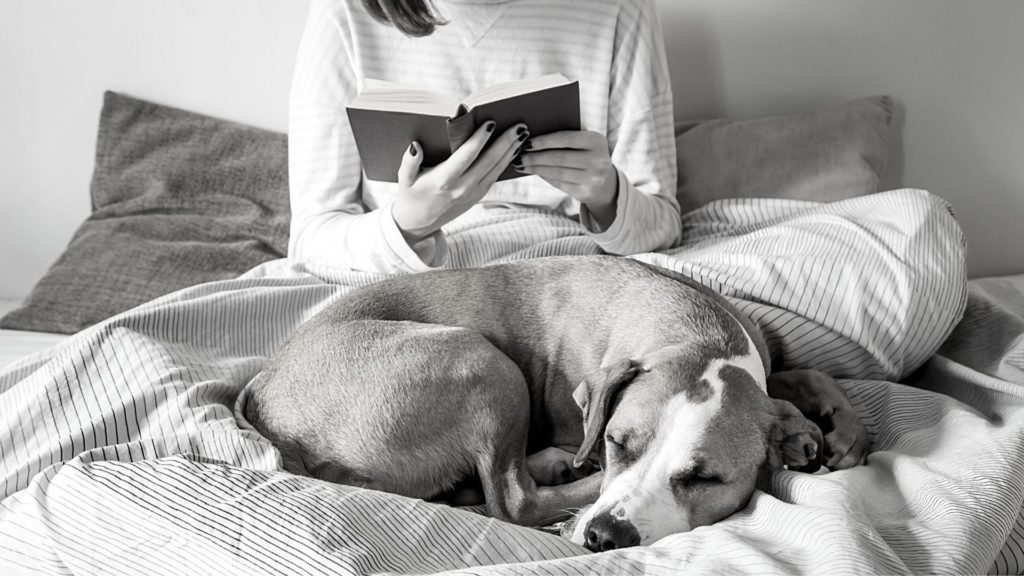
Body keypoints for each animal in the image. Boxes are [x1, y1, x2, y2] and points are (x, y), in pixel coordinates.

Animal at [245, 256, 864, 553]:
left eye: (704, 478)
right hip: (483, 361)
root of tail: (263, 398)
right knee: (513, 500)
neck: (697, 335)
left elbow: (807, 374)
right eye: (616, 441)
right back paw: (559, 469)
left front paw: (841, 430)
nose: (605, 539)